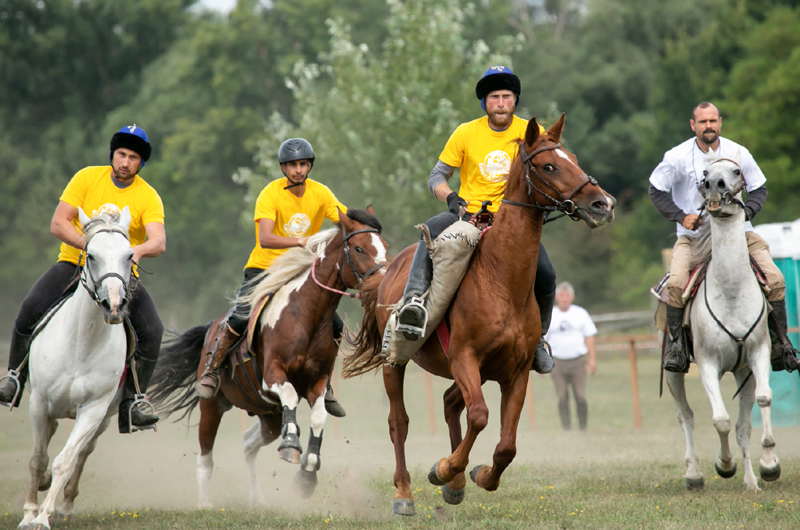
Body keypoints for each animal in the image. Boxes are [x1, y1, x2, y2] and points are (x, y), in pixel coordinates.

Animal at [19, 207, 135, 528]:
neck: (82, 343)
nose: (114, 305)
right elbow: (38, 459)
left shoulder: (94, 410)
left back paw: (66, 505)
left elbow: (66, 461)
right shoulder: (38, 402)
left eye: (130, 256)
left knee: (83, 452)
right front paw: (29, 513)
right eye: (91, 255)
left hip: (103, 418)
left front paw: (43, 517)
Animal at [151, 206, 390, 504]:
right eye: (358, 248)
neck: (305, 315)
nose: (383, 281)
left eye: (385, 246)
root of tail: (211, 328)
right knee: (205, 458)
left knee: (248, 443)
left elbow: (319, 416)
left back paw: (257, 498)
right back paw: (204, 502)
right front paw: (290, 443)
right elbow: (291, 398)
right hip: (212, 406)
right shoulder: (273, 376)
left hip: (269, 416)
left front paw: (307, 475)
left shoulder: (318, 382)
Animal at [342, 114, 612, 512]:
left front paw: (476, 475)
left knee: (450, 403)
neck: (501, 280)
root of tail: (387, 272)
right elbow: (481, 416)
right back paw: (405, 492)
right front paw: (446, 467)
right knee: (399, 421)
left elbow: (506, 445)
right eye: (549, 165)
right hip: (397, 362)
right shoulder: (465, 358)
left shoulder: (515, 373)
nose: (602, 204)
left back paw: (454, 485)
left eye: (574, 158)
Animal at [664, 146, 780, 488]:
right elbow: (720, 420)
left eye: (737, 171)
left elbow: (763, 401)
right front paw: (724, 464)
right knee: (686, 416)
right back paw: (694, 474)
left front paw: (769, 464)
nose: (713, 185)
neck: (731, 291)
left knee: (744, 426)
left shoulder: (758, 354)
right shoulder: (707, 364)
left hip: (743, 372)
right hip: (674, 373)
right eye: (704, 174)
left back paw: (752, 480)